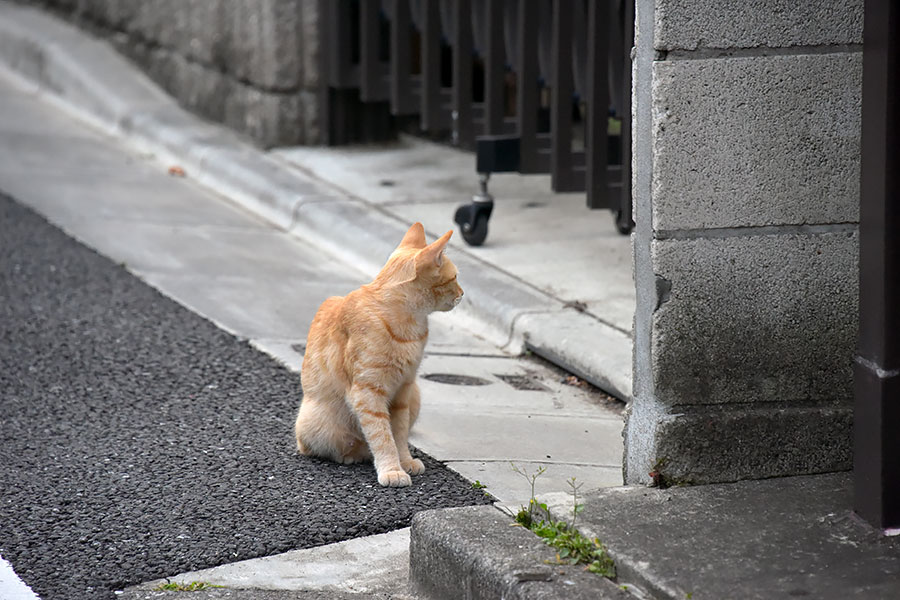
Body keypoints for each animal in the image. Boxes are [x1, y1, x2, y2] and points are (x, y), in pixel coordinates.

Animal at [296, 223, 464, 486]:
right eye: (455, 277)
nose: (463, 293)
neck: (410, 327)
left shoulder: (404, 390)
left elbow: (399, 432)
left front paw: (404, 461)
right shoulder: (368, 392)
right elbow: (382, 435)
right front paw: (392, 469)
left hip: (416, 395)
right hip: (318, 422)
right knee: (320, 446)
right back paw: (351, 455)